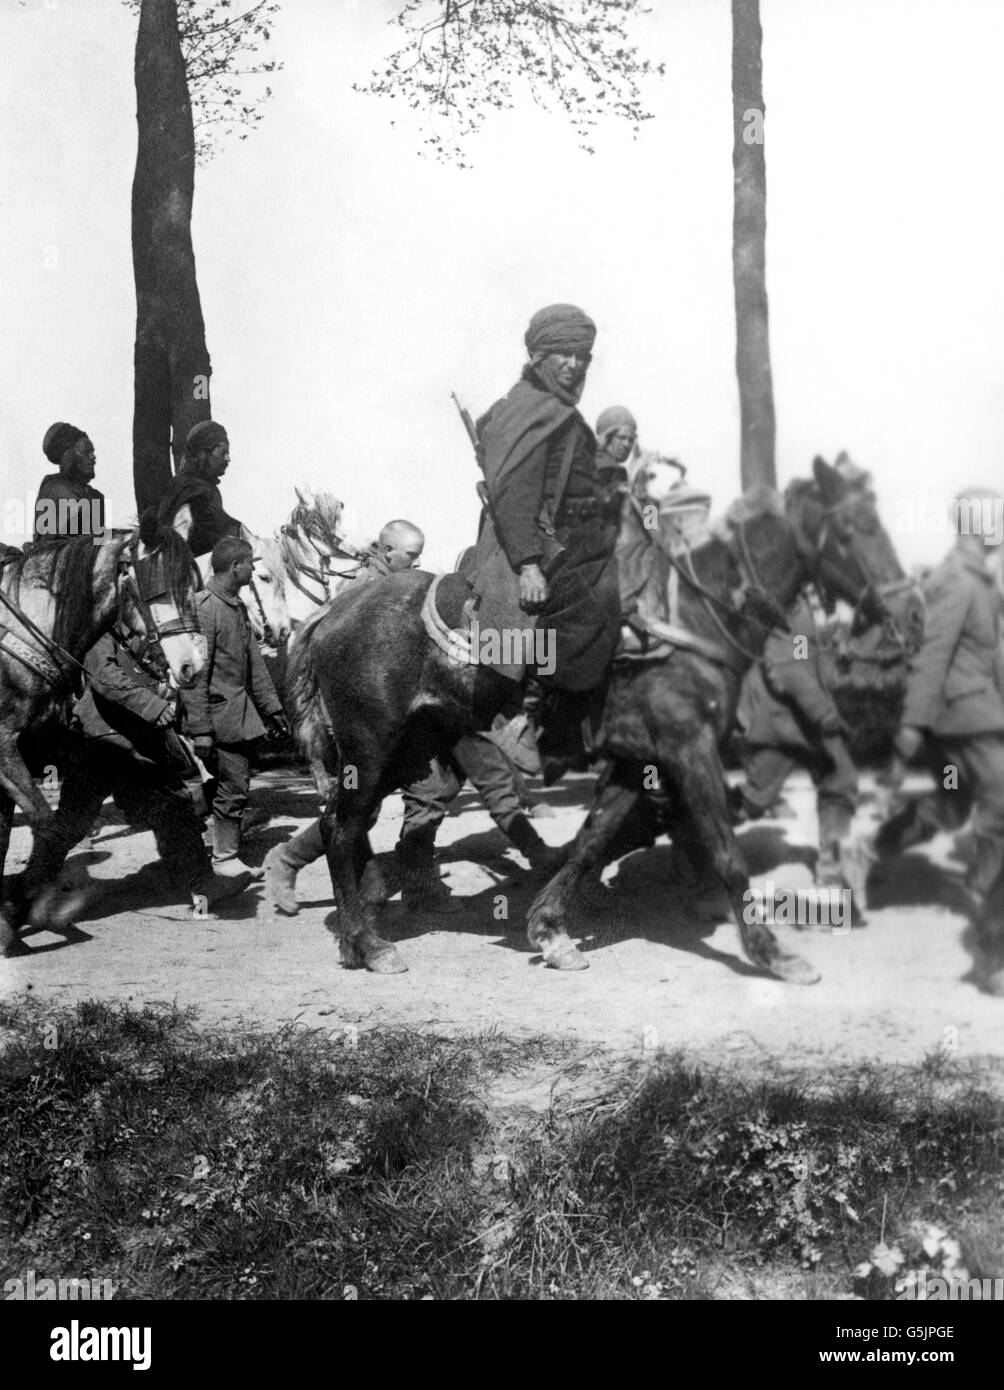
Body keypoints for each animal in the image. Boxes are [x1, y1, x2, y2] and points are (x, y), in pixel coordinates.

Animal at [285, 455, 917, 978]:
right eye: (853, 530)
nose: (911, 611)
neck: (688, 617)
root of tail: (330, 614)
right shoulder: (689, 749)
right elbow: (725, 850)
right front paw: (772, 952)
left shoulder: (635, 760)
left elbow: (592, 842)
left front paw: (550, 929)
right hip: (370, 748)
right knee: (342, 828)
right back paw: (368, 943)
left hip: (408, 750)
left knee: (346, 823)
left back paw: (361, 916)